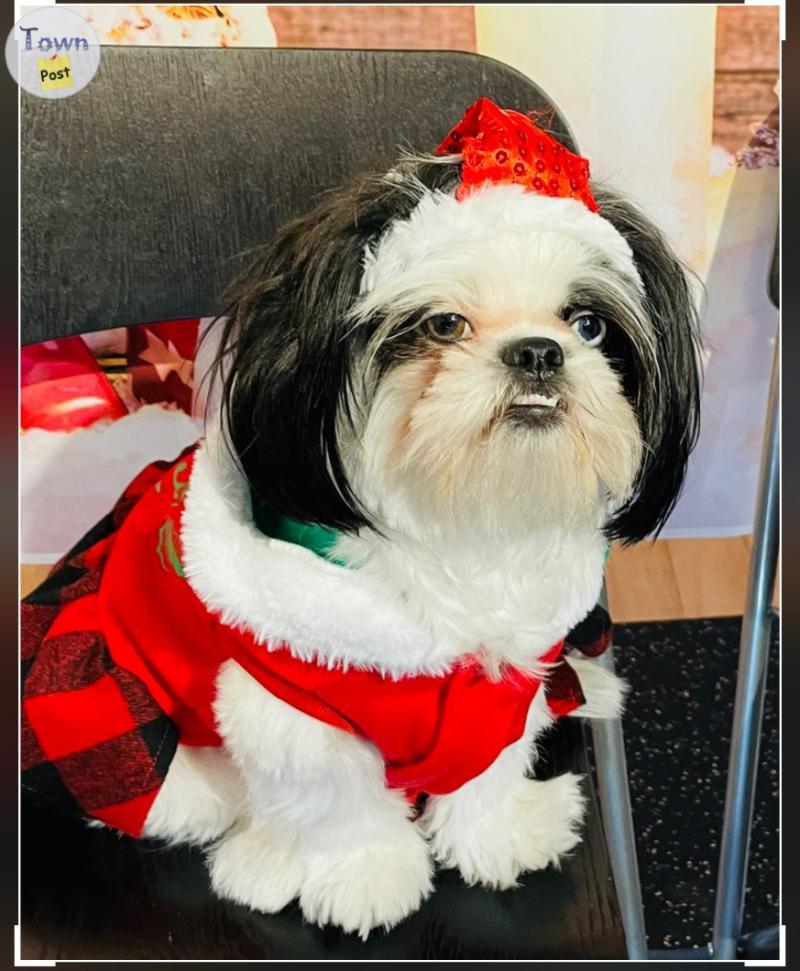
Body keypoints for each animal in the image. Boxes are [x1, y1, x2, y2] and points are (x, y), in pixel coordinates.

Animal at [21, 100, 700, 940]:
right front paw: (365, 877)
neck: (457, 532)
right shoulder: (294, 702)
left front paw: (498, 836)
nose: (539, 351)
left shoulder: (501, 680)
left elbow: (488, 769)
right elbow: (336, 802)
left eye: (589, 325)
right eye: (442, 325)